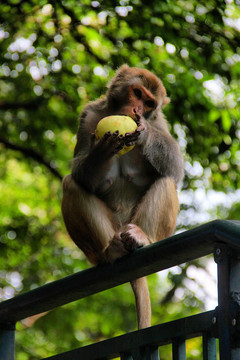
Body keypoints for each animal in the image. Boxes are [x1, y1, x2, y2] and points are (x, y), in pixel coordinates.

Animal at [61, 64, 184, 330]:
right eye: (136, 93)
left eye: (148, 103)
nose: (135, 110)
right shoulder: (88, 115)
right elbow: (80, 173)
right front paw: (99, 153)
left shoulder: (160, 123)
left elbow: (175, 169)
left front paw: (144, 131)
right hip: (104, 238)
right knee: (71, 184)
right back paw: (112, 251)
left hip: (140, 224)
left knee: (166, 180)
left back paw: (142, 238)